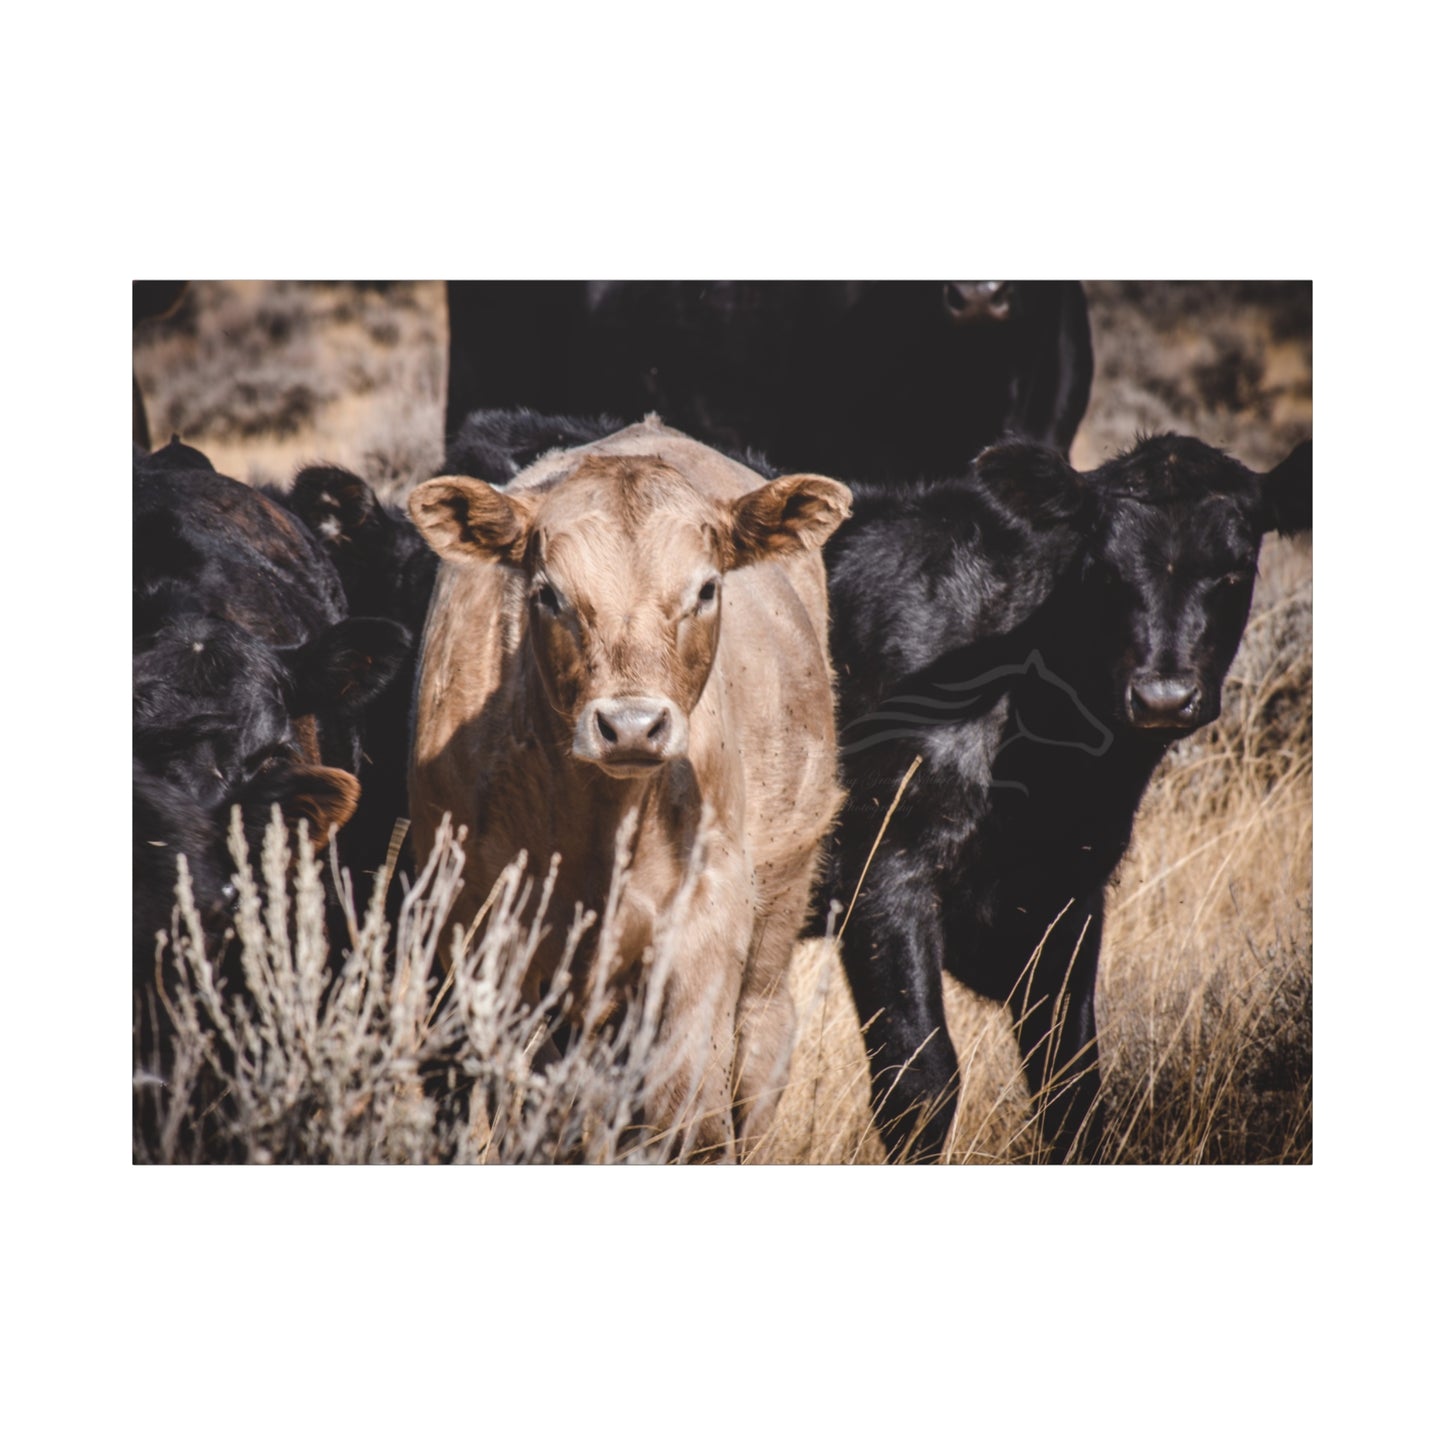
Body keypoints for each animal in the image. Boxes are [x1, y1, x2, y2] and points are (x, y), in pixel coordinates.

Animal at [406, 417, 851, 1159]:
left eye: (706, 589)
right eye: (548, 593)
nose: (632, 726)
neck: (598, 829)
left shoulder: (703, 927)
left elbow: (686, 1117)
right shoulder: (486, 937)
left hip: (778, 907)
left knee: (759, 1046)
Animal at [823, 432, 1313, 1161]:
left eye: (1235, 569)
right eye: (1104, 570)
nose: (1162, 696)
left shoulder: (1071, 889)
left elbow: (1071, 1083)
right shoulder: (883, 869)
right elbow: (920, 1082)